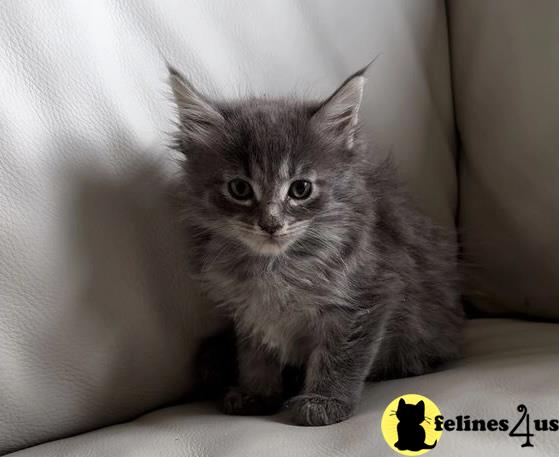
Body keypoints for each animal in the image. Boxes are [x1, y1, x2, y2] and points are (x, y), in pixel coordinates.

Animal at [170, 62, 464, 426]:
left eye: (301, 189)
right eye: (239, 189)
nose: (270, 224)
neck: (275, 267)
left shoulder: (368, 296)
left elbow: (340, 356)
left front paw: (325, 401)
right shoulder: (249, 311)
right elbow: (255, 356)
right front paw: (258, 393)